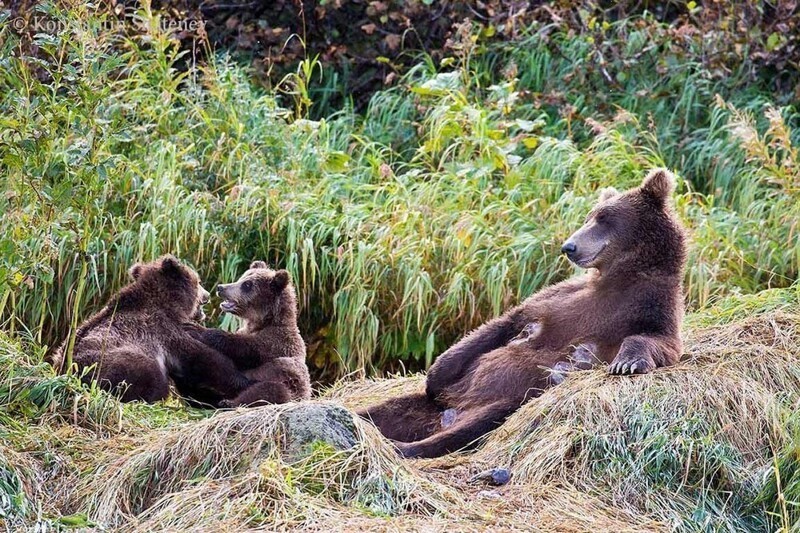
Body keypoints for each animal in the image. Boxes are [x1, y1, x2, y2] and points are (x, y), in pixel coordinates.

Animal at [51, 256, 252, 402]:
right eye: (199, 281)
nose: (208, 294)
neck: (169, 304)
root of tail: (64, 370)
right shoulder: (165, 331)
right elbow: (204, 358)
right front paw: (242, 382)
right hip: (109, 361)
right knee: (151, 376)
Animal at [183, 260, 310, 406]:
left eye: (247, 285)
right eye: (242, 278)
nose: (221, 287)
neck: (263, 322)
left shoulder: (275, 342)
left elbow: (244, 348)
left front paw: (197, 329)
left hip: (288, 386)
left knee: (270, 389)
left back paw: (228, 403)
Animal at [360, 169, 688, 458]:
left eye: (604, 218)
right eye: (589, 216)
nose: (569, 246)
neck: (618, 276)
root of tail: (452, 411)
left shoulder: (650, 305)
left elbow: (657, 340)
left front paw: (626, 362)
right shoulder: (558, 298)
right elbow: (502, 324)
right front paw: (436, 373)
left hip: (504, 403)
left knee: (465, 429)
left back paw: (401, 446)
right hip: (433, 405)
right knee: (387, 410)